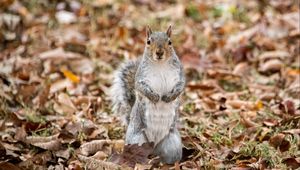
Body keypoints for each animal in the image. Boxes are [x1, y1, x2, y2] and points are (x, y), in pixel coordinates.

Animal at [110, 25, 185, 164]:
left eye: (170, 42)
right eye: (148, 41)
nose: (159, 52)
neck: (160, 65)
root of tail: (153, 146)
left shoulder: (180, 76)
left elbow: (180, 87)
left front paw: (169, 97)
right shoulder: (140, 77)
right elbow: (141, 88)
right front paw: (154, 97)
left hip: (172, 145)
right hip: (136, 141)